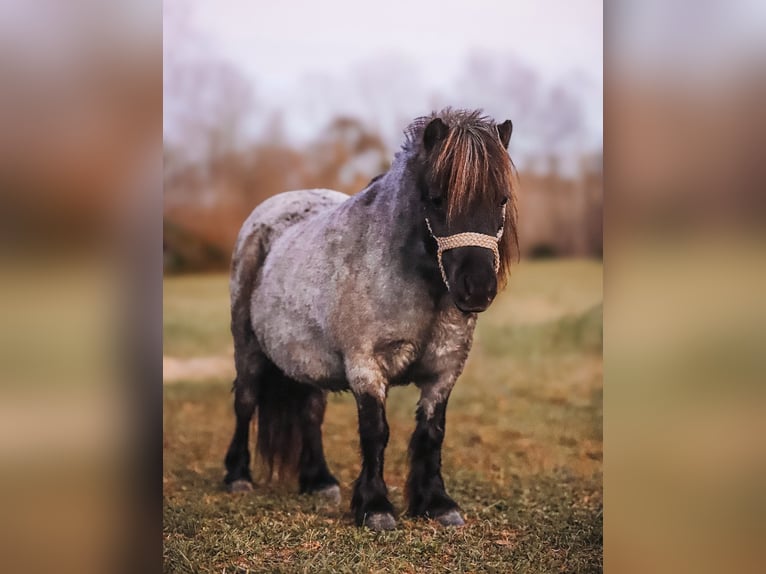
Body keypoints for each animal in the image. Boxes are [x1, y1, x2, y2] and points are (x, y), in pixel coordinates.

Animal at [225, 107, 520, 532]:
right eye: (436, 199)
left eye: (501, 199)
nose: (477, 289)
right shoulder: (366, 367)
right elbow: (375, 432)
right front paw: (376, 507)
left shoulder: (444, 372)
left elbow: (432, 432)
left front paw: (436, 503)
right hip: (247, 347)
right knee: (246, 401)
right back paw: (237, 476)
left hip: (307, 360)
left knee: (311, 413)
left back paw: (319, 481)